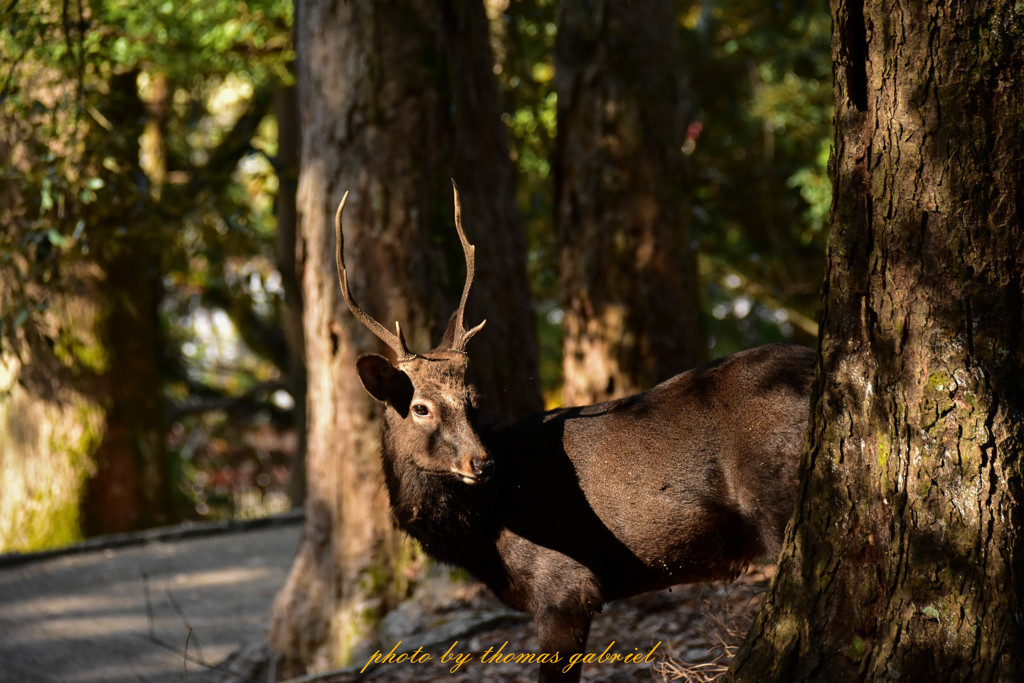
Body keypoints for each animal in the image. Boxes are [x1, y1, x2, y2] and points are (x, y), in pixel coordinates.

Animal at [335, 183, 815, 683]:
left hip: (778, 499)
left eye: (474, 400)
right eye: (420, 408)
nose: (481, 462)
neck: (484, 536)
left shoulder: (565, 586)